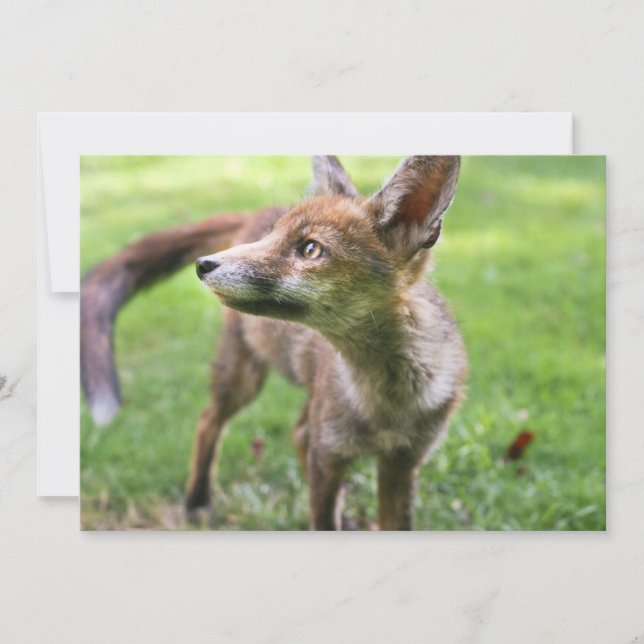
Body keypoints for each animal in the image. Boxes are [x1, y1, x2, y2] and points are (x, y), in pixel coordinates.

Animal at [81, 156, 467, 530]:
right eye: (274, 237)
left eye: (310, 249)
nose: (203, 264)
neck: (386, 405)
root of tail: (256, 212)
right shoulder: (329, 454)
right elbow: (322, 520)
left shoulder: (402, 464)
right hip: (243, 377)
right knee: (209, 421)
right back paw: (197, 501)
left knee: (297, 432)